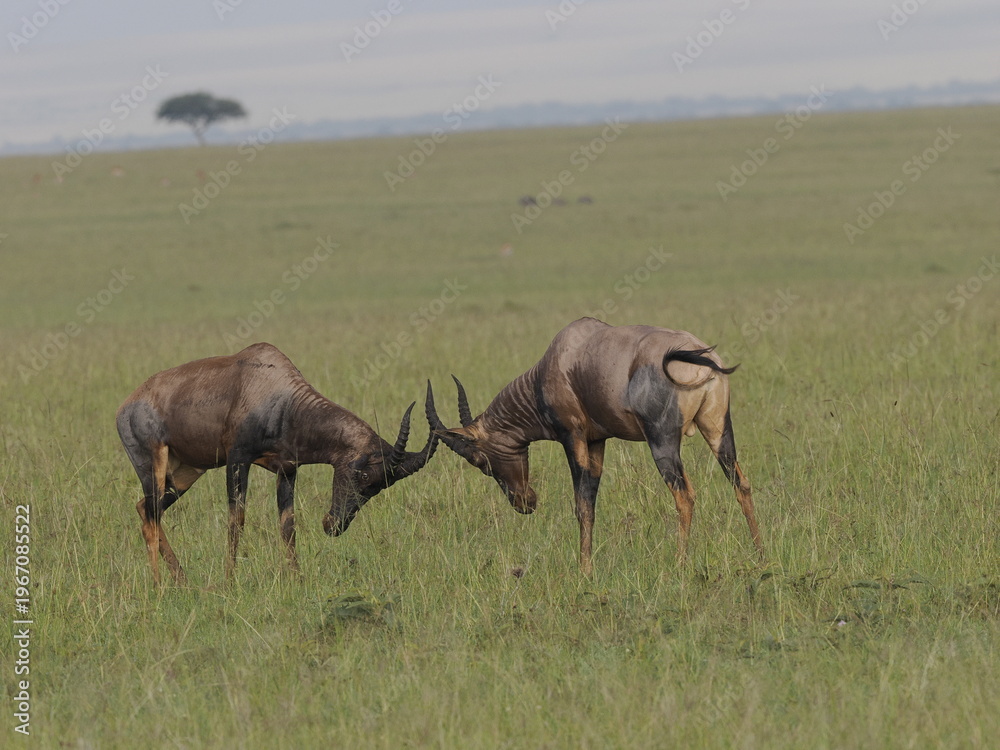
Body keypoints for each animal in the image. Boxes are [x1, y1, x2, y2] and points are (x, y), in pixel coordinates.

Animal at [117, 342, 437, 584]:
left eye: (381, 487)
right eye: (364, 476)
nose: (333, 525)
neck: (278, 394)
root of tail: (126, 406)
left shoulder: (287, 470)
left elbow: (288, 525)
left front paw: (297, 579)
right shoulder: (237, 460)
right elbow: (236, 520)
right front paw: (230, 581)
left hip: (185, 473)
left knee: (146, 509)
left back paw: (181, 580)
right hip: (152, 466)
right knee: (151, 517)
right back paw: (159, 586)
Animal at [428, 317, 762, 575]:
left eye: (479, 461)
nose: (525, 503)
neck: (559, 360)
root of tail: (695, 355)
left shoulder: (572, 436)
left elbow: (581, 505)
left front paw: (584, 571)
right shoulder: (597, 440)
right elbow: (592, 502)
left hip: (662, 441)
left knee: (685, 496)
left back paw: (679, 566)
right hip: (717, 429)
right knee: (741, 484)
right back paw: (760, 555)